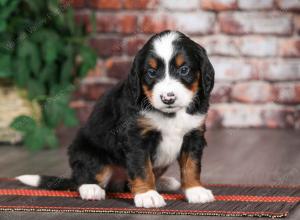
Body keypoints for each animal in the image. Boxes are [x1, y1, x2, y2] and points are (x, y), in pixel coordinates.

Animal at [17, 30, 216, 208]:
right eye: (151, 72)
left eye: (184, 69)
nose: (168, 98)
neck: (171, 114)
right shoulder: (136, 137)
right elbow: (142, 168)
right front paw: (147, 195)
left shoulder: (193, 134)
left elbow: (191, 166)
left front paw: (195, 190)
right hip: (88, 153)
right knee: (83, 176)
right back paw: (91, 188)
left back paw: (164, 182)